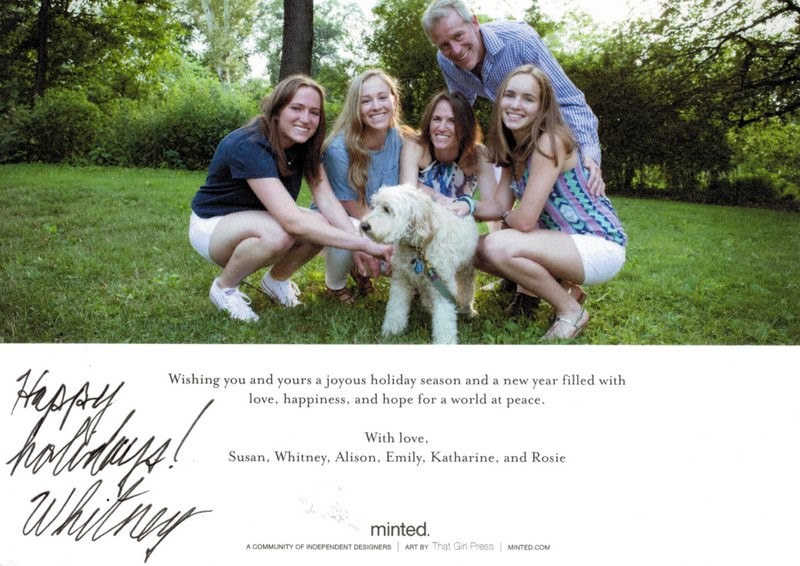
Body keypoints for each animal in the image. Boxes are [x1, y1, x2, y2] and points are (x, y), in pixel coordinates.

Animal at [360, 184, 479, 344]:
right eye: (374, 206)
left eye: (387, 209)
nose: (364, 225)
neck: (417, 248)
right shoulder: (401, 282)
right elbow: (395, 309)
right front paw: (392, 331)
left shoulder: (443, 288)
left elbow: (444, 320)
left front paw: (445, 341)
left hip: (465, 268)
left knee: (467, 288)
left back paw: (467, 309)